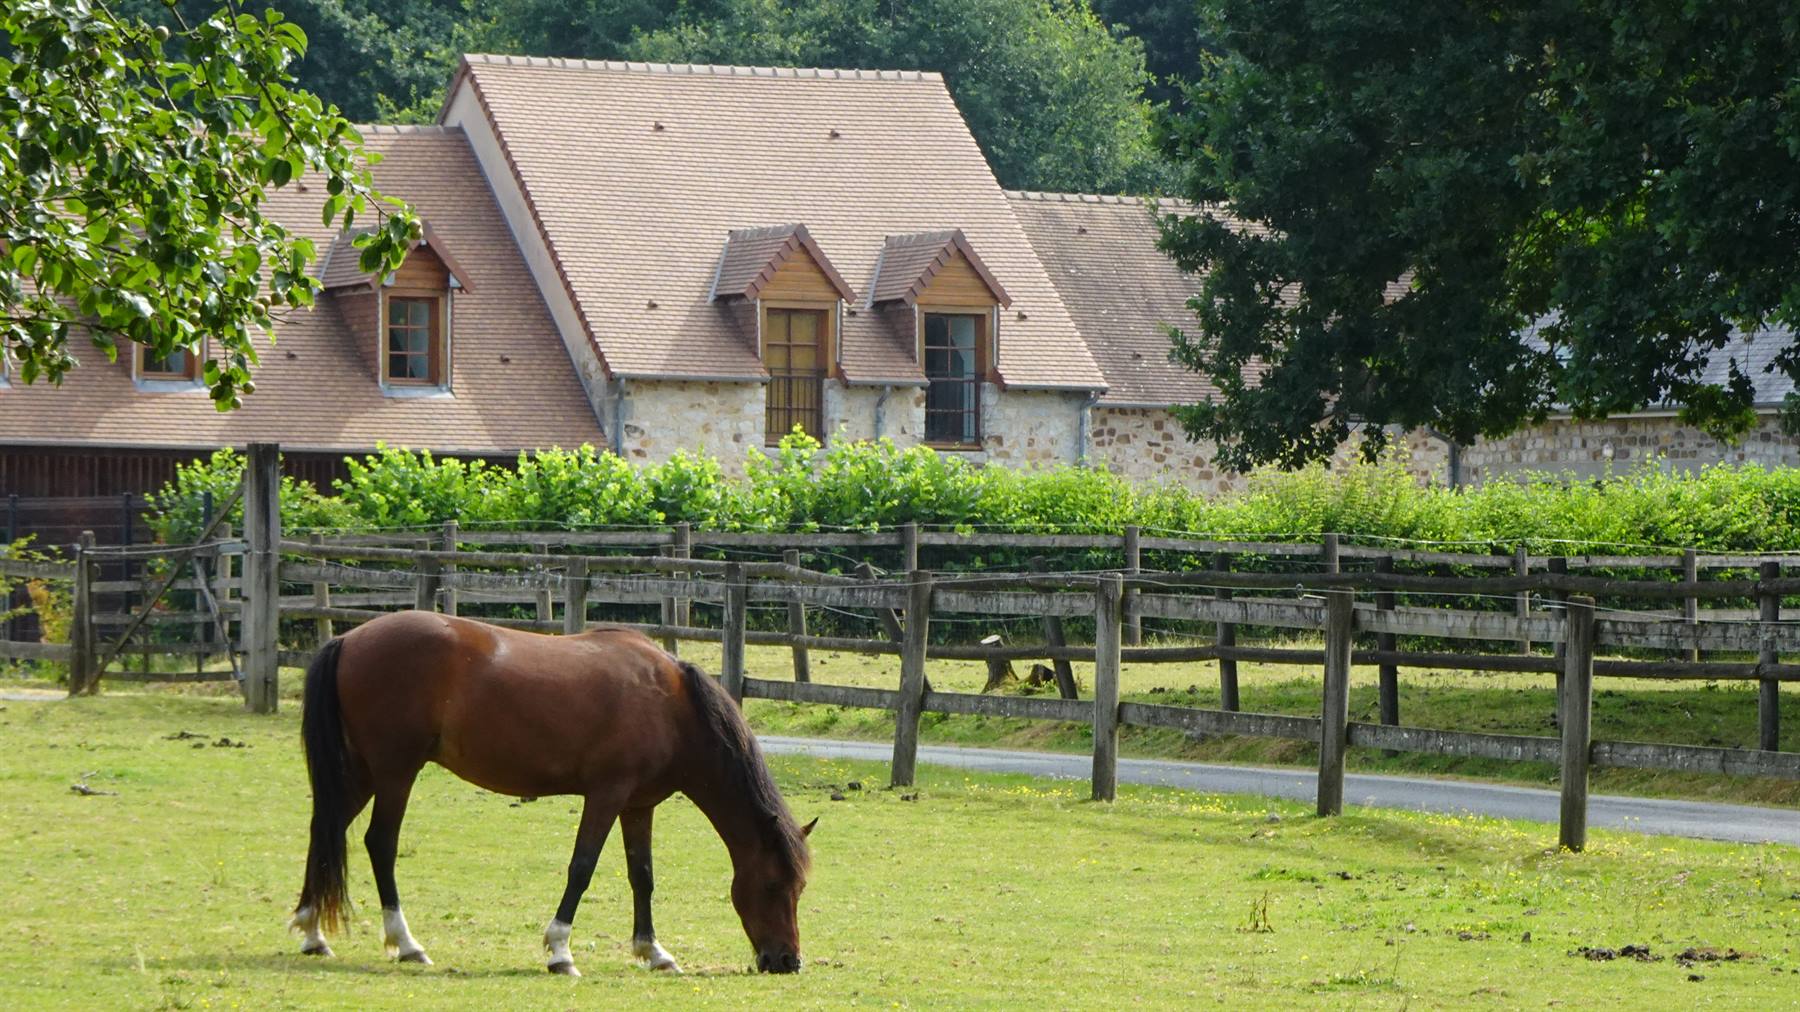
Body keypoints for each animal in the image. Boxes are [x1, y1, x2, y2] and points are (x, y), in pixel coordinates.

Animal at [289, 610, 813, 975]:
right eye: (773, 884)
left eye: (800, 888)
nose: (787, 961)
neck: (672, 705)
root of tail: (348, 639)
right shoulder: (606, 795)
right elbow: (582, 868)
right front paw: (561, 951)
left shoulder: (638, 805)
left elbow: (641, 876)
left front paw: (653, 951)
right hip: (396, 772)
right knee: (380, 843)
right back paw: (406, 943)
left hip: (362, 772)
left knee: (324, 829)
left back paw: (312, 933)